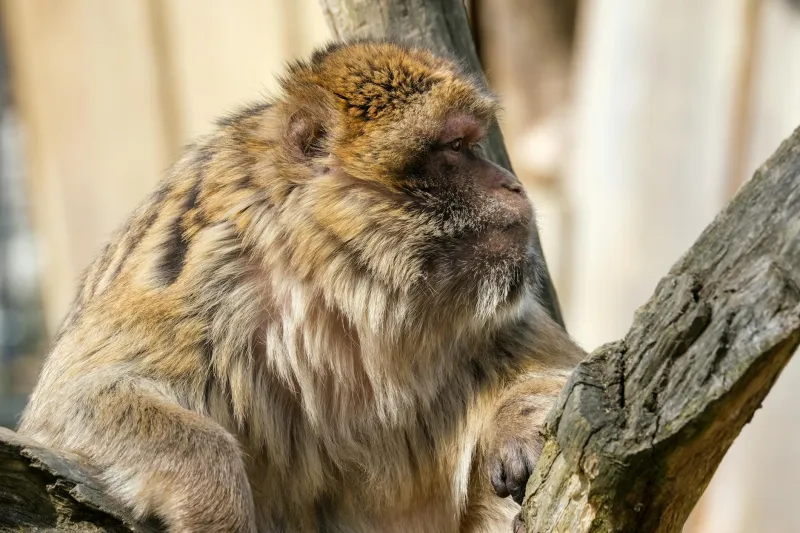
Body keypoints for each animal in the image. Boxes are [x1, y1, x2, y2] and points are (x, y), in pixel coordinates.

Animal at [18, 39, 585, 533]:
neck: (345, 285)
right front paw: (216, 508)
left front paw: (521, 421)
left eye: (472, 143)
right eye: (455, 147)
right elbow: (70, 404)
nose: (514, 185)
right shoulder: (205, 279)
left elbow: (558, 369)